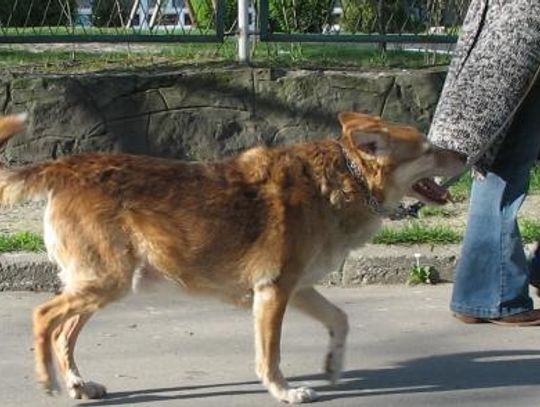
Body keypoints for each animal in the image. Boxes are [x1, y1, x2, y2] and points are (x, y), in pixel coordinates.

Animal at [0, 110, 464, 404]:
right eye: (428, 150)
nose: (465, 154)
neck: (342, 180)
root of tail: (67, 165)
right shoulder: (273, 293)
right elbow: (269, 357)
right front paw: (285, 392)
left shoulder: (297, 289)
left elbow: (340, 320)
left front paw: (333, 364)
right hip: (105, 283)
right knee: (44, 317)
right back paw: (47, 379)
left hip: (103, 287)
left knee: (63, 335)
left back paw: (78, 385)